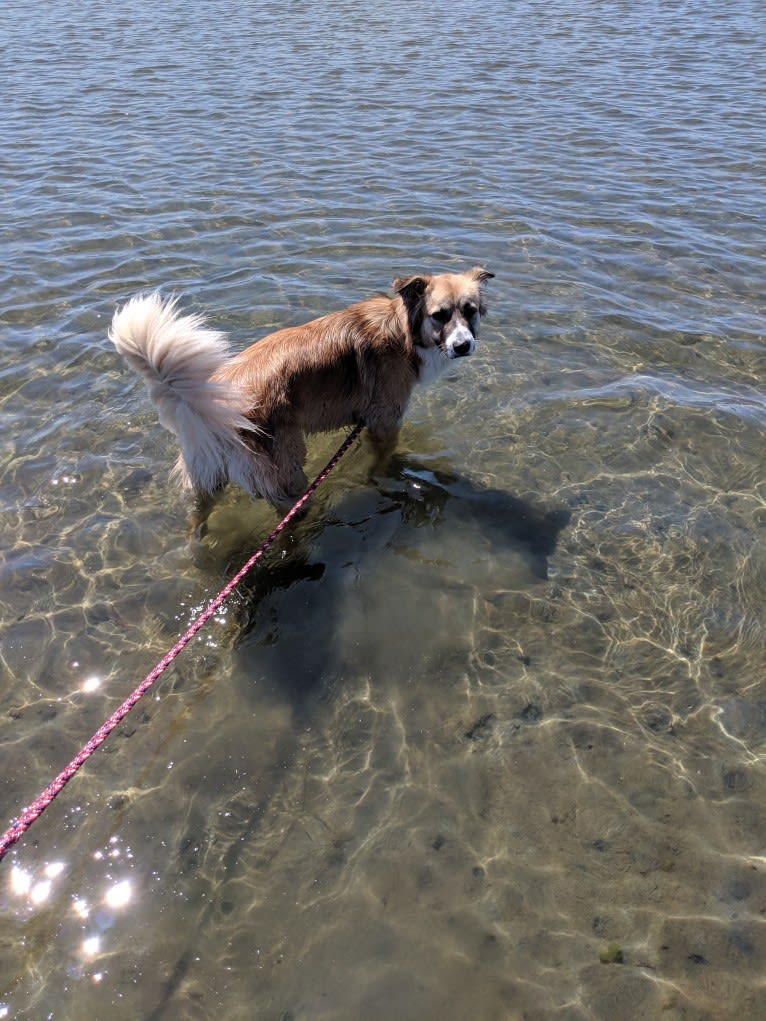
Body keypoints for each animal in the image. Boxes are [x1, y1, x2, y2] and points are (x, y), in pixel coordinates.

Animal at [108, 269, 494, 510]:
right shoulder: (385, 420)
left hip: (208, 475)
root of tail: (206, 408)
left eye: (470, 311)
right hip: (286, 471)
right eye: (439, 315)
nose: (463, 345)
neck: (402, 331)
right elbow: (383, 460)